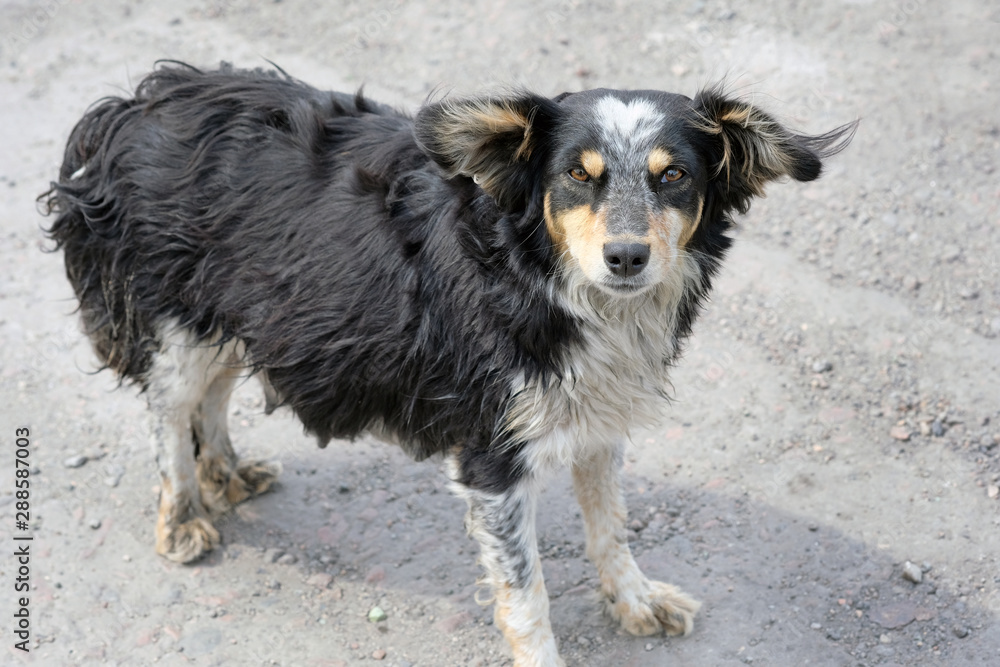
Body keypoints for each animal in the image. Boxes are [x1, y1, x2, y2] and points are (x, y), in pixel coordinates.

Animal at [43, 64, 856, 667]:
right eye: (577, 175)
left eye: (674, 177)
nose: (626, 257)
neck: (540, 276)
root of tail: (133, 106)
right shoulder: (493, 455)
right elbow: (527, 594)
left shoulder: (595, 413)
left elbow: (612, 526)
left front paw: (634, 600)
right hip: (176, 318)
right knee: (170, 413)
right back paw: (183, 511)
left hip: (244, 313)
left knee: (212, 393)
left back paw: (228, 473)